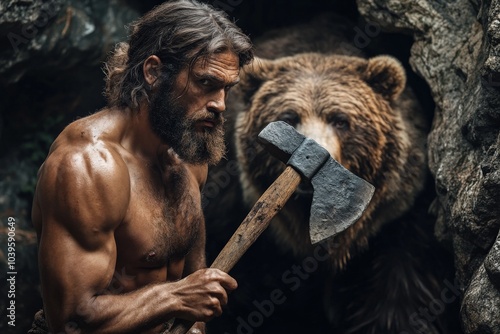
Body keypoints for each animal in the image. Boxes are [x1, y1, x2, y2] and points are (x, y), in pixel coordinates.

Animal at [201, 13, 458, 334]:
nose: (314, 152)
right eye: (289, 117)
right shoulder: (226, 201)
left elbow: (400, 297)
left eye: (340, 120)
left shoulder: (399, 223)